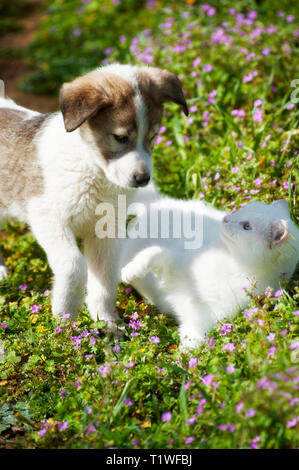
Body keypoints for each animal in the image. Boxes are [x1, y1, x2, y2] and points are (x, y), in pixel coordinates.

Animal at [0, 63, 188, 330]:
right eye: (120, 138)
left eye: (152, 137)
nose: (143, 179)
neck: (92, 169)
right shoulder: (48, 218)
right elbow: (73, 265)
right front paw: (65, 318)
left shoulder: (105, 232)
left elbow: (106, 280)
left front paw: (107, 322)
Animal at [120, 190, 299, 348]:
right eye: (241, 210)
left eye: (246, 226)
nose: (225, 218)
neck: (233, 269)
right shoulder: (173, 265)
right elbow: (153, 252)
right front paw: (131, 272)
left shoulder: (203, 319)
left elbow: (192, 344)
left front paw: (183, 360)